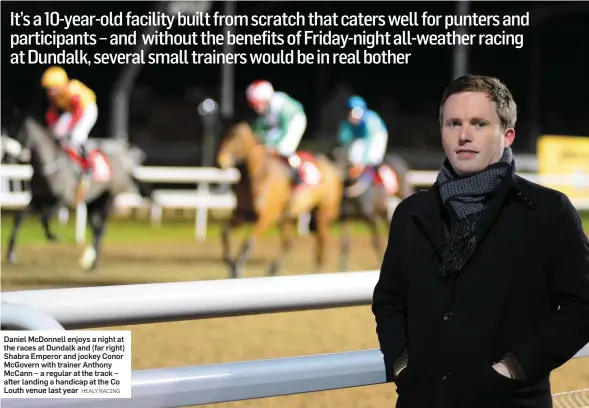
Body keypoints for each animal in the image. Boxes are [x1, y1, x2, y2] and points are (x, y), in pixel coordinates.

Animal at [4, 117, 152, 270]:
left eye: (19, 133)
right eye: (7, 132)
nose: (7, 158)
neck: (49, 164)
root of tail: (126, 163)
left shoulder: (61, 199)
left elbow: (44, 218)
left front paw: (54, 237)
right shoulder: (37, 199)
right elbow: (19, 218)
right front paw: (10, 255)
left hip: (108, 198)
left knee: (101, 230)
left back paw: (93, 263)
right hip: (94, 202)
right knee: (97, 229)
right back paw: (88, 259)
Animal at [216, 121, 344, 278]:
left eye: (238, 139)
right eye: (226, 136)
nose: (221, 161)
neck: (258, 177)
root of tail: (335, 169)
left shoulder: (265, 218)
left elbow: (248, 242)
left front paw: (237, 269)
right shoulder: (241, 214)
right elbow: (225, 234)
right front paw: (230, 264)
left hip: (323, 213)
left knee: (321, 241)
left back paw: (315, 271)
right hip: (287, 218)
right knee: (288, 243)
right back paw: (273, 269)